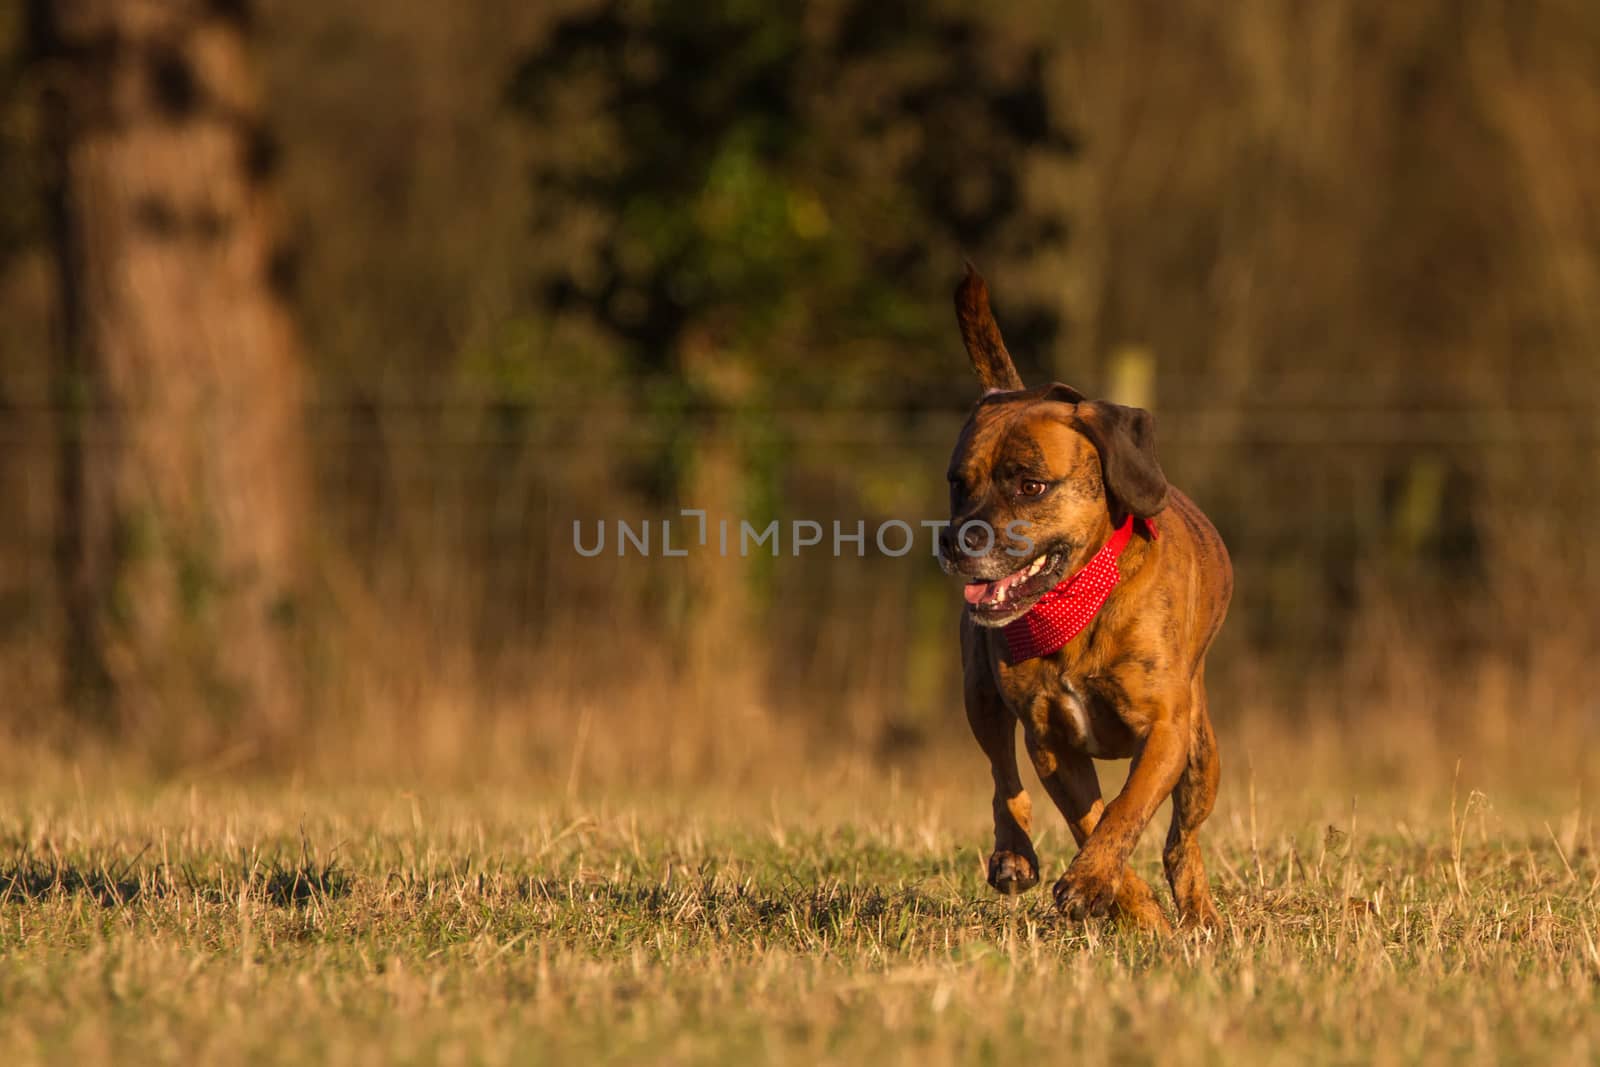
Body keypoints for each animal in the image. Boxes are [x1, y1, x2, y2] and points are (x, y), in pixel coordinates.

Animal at [940, 268, 1228, 934]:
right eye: (957, 485)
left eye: (1031, 484)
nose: (955, 539)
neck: (1077, 605)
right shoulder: (1050, 741)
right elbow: (1091, 816)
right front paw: (1126, 902)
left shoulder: (1166, 732)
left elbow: (1127, 808)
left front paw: (1096, 883)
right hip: (979, 695)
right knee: (1001, 774)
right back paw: (1014, 855)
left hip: (1202, 756)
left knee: (1182, 838)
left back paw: (1199, 911)